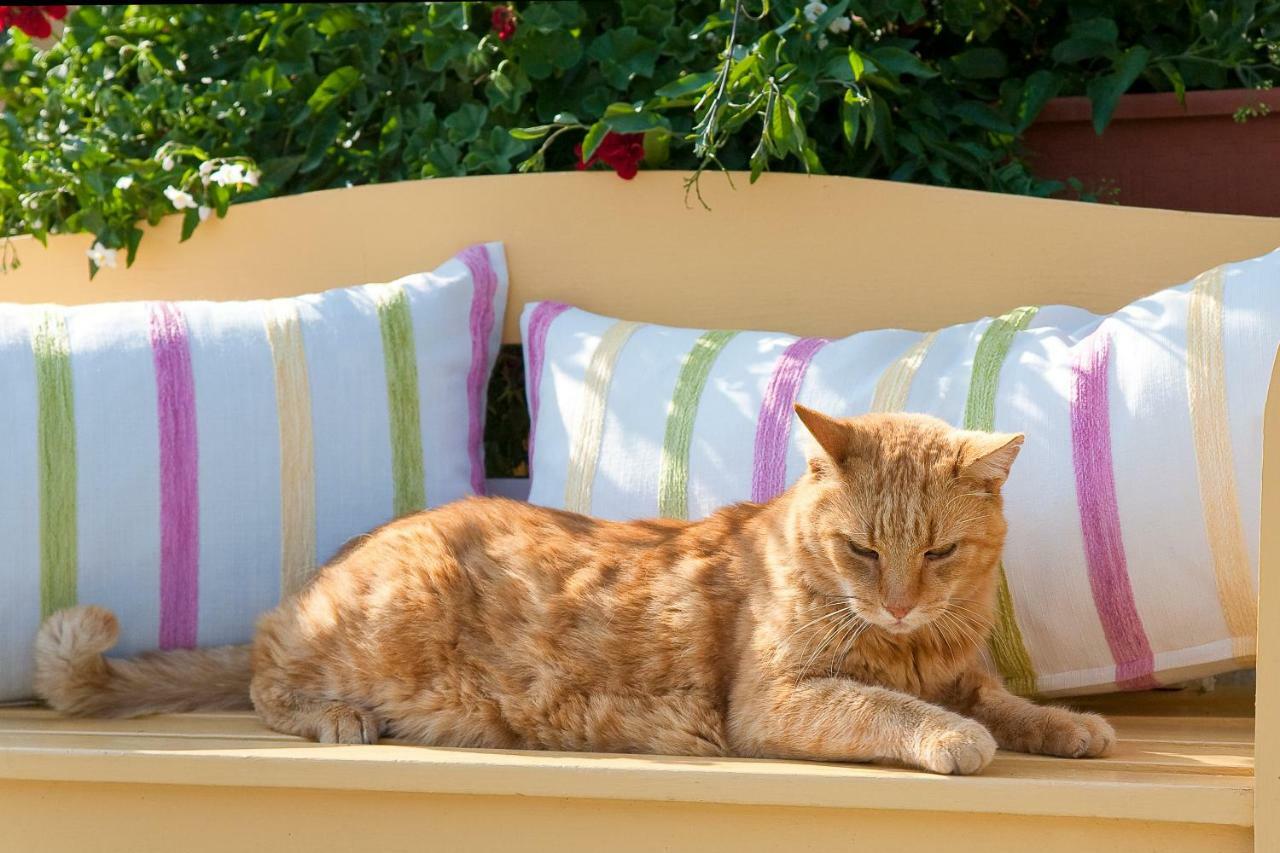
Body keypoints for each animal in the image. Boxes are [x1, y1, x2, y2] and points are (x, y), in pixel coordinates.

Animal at [30, 404, 1111, 768]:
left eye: (937, 553)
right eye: (859, 548)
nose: (895, 599)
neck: (908, 643)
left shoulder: (966, 671)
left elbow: (1007, 702)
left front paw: (1068, 724)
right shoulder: (777, 703)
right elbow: (890, 710)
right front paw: (950, 737)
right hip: (381, 617)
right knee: (264, 674)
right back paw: (337, 715)